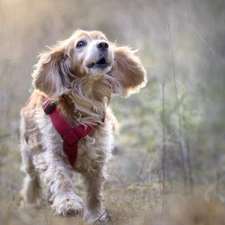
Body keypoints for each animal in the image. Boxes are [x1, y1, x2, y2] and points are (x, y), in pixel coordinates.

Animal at [18, 29, 146, 223]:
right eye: (80, 44)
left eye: (104, 39)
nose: (103, 45)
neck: (85, 101)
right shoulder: (52, 152)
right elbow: (61, 178)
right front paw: (68, 203)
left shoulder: (97, 156)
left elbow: (94, 191)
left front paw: (95, 215)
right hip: (29, 152)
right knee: (31, 178)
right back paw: (31, 202)